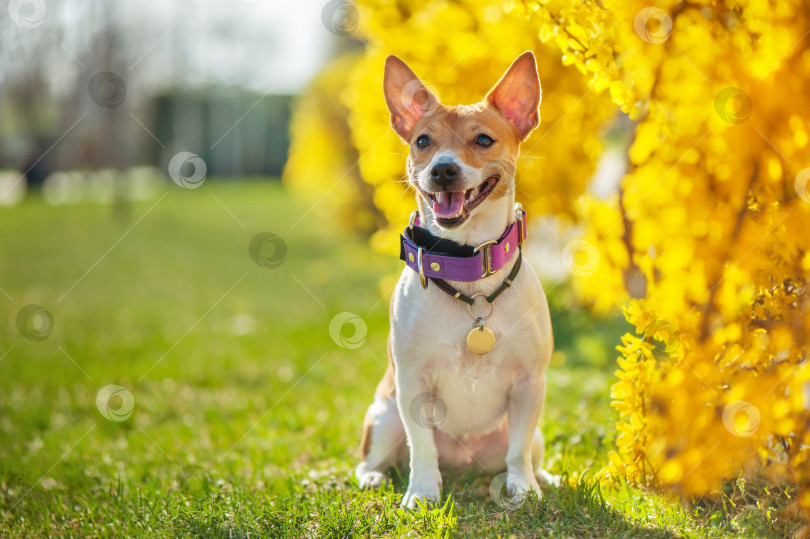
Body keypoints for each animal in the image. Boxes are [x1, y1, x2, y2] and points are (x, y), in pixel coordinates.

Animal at [356, 51, 552, 510]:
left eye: (483, 140)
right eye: (423, 142)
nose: (443, 170)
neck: (467, 268)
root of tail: (464, 462)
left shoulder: (529, 386)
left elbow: (517, 451)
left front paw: (523, 488)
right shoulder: (412, 385)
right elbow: (422, 447)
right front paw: (423, 492)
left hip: (532, 433)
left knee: (525, 451)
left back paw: (543, 476)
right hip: (384, 416)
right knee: (375, 457)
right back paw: (374, 476)